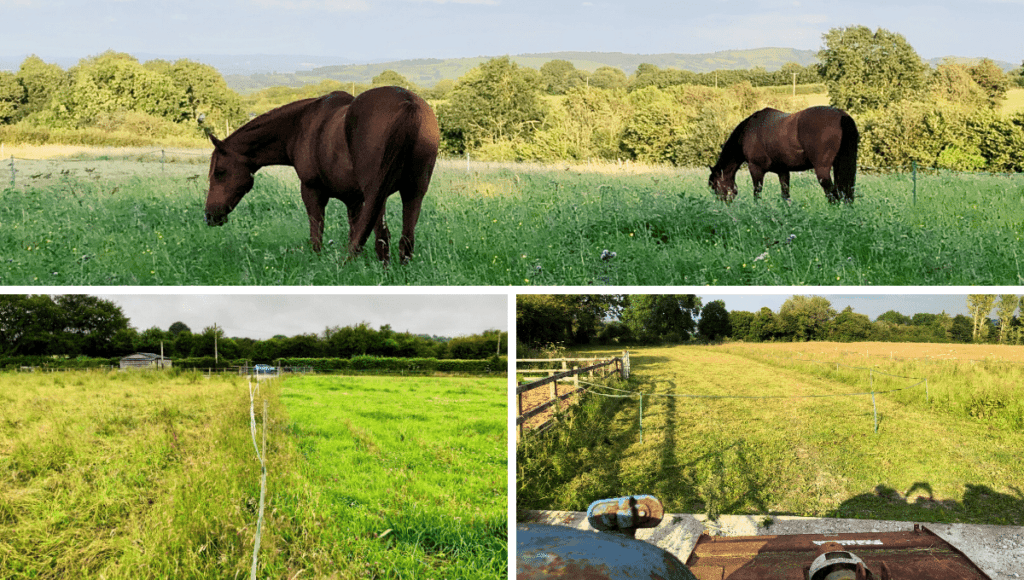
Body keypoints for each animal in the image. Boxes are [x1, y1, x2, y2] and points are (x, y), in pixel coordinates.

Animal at [202, 86, 436, 266]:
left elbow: (317, 232)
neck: (300, 125)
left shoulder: (312, 190)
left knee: (383, 237)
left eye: (220, 172)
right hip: (414, 192)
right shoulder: (354, 200)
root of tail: (408, 103)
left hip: (378, 193)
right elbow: (355, 231)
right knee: (405, 239)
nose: (210, 216)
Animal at [708, 106, 860, 204]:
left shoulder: (755, 169)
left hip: (822, 170)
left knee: (833, 195)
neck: (748, 131)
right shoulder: (783, 171)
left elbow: (757, 193)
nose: (723, 205)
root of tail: (841, 114)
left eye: (715, 186)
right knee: (846, 193)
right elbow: (785, 196)